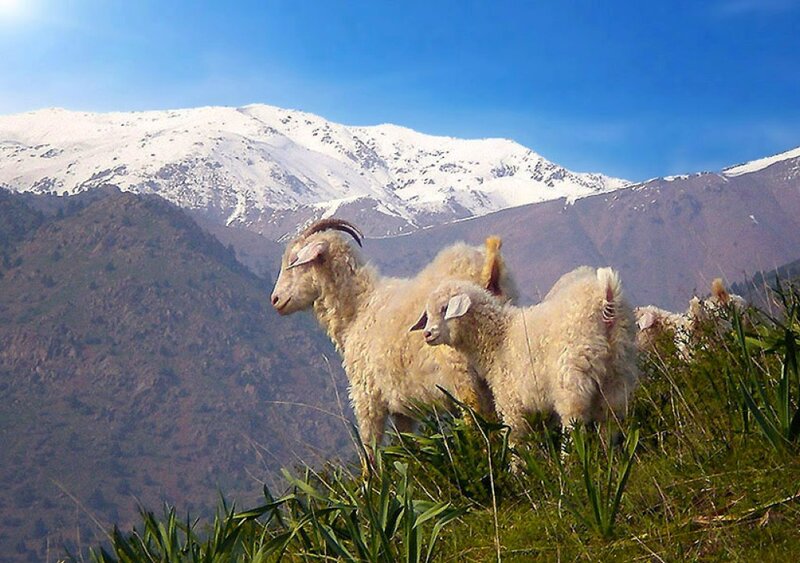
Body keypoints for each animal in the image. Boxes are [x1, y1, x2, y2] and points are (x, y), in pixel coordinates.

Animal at [270, 218, 517, 456]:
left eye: (295, 260)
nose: (275, 300)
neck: (358, 310)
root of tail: (487, 269)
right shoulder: (402, 406)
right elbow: (406, 447)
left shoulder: (367, 396)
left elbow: (370, 451)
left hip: (460, 372)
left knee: (477, 418)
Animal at [411, 267, 639, 448]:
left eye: (445, 309)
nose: (427, 334)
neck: (498, 338)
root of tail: (606, 296)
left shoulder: (511, 403)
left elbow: (515, 441)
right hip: (617, 374)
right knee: (610, 421)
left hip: (572, 379)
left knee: (573, 425)